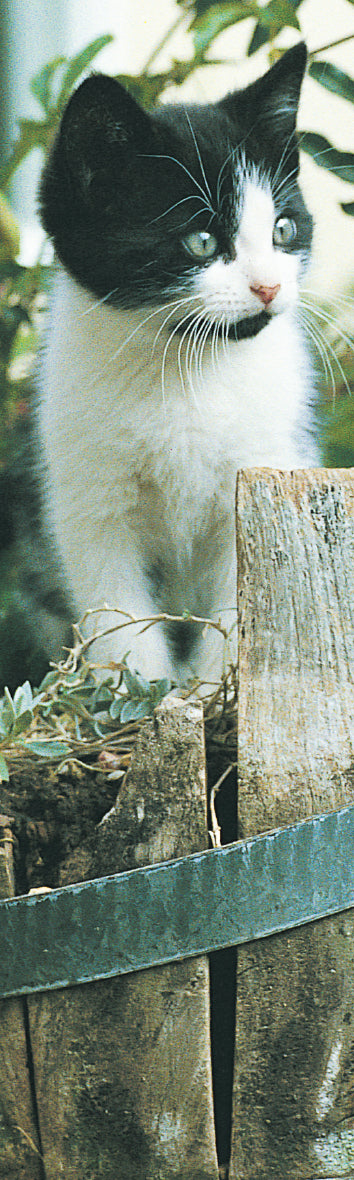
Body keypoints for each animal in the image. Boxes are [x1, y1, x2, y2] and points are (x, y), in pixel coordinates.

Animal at [33, 43, 316, 684]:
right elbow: (118, 611)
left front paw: (216, 689)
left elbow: (243, 601)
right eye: (201, 242)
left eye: (283, 229)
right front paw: (139, 693)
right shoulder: (91, 498)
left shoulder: (266, 466)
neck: (188, 369)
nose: (269, 287)